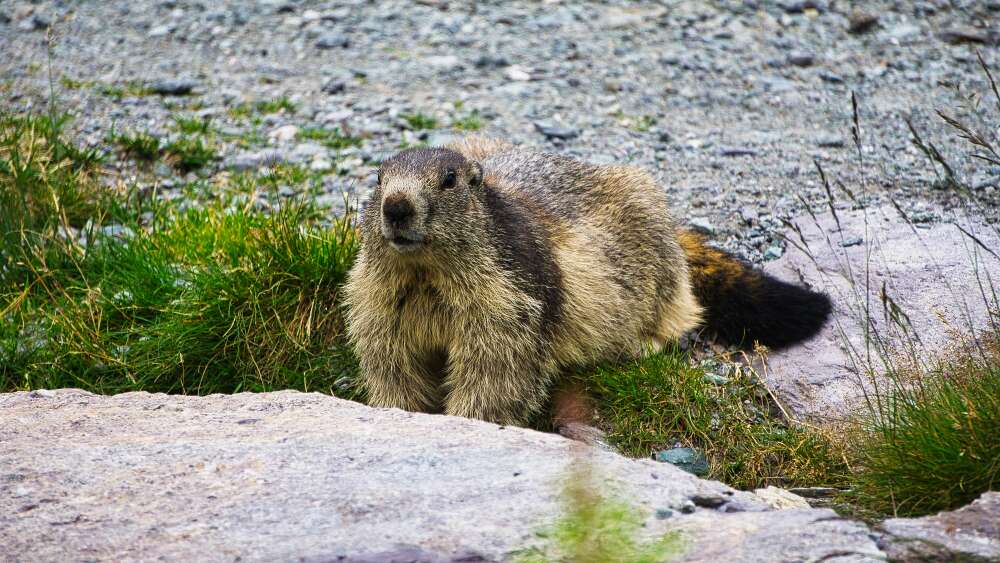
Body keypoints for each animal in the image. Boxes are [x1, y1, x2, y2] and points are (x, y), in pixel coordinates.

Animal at [343, 136, 831, 426]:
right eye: (379, 178)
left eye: (448, 180)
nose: (396, 206)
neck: (425, 274)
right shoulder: (377, 298)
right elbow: (392, 358)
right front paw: (400, 409)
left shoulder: (509, 297)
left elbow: (498, 366)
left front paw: (473, 418)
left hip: (657, 250)